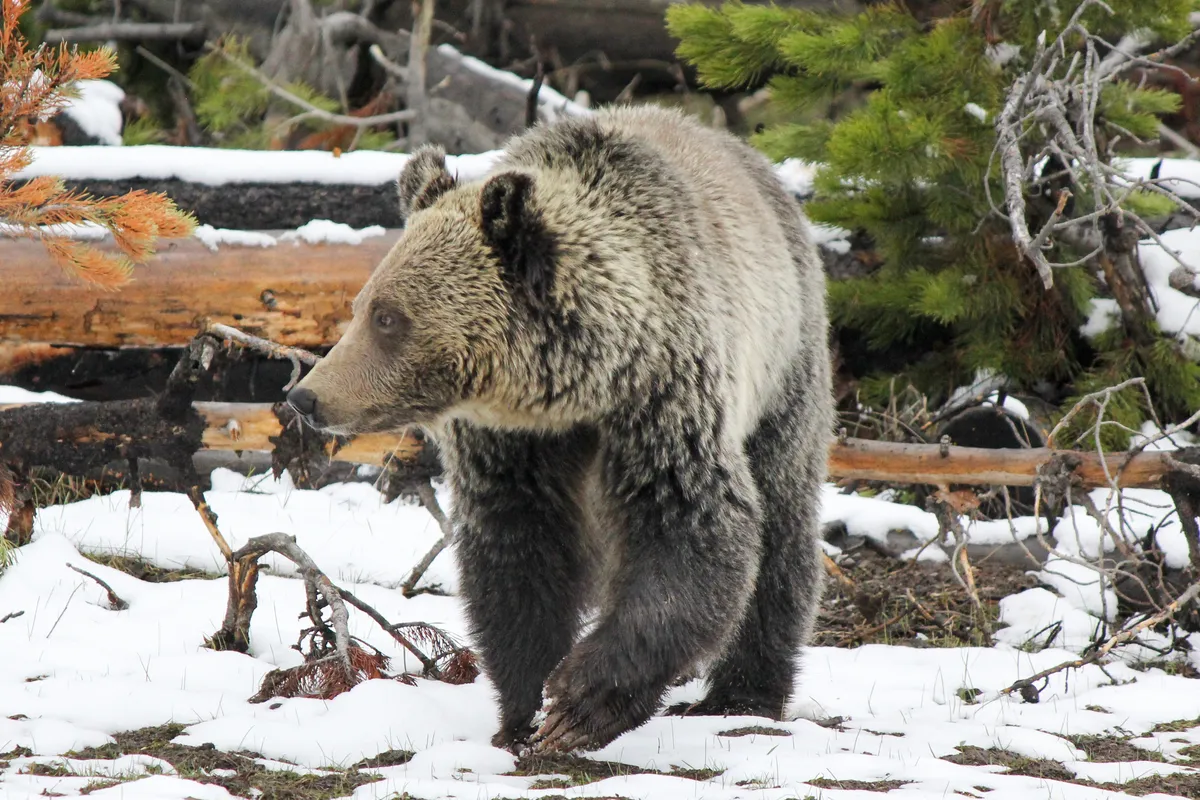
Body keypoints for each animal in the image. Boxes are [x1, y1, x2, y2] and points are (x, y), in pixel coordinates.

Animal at [287, 105, 833, 753]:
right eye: (361, 307)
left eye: (388, 318)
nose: (306, 395)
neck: (575, 389)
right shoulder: (515, 447)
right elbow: (521, 553)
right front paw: (524, 709)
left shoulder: (664, 401)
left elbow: (691, 533)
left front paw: (579, 703)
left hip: (784, 366)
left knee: (783, 523)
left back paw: (745, 693)